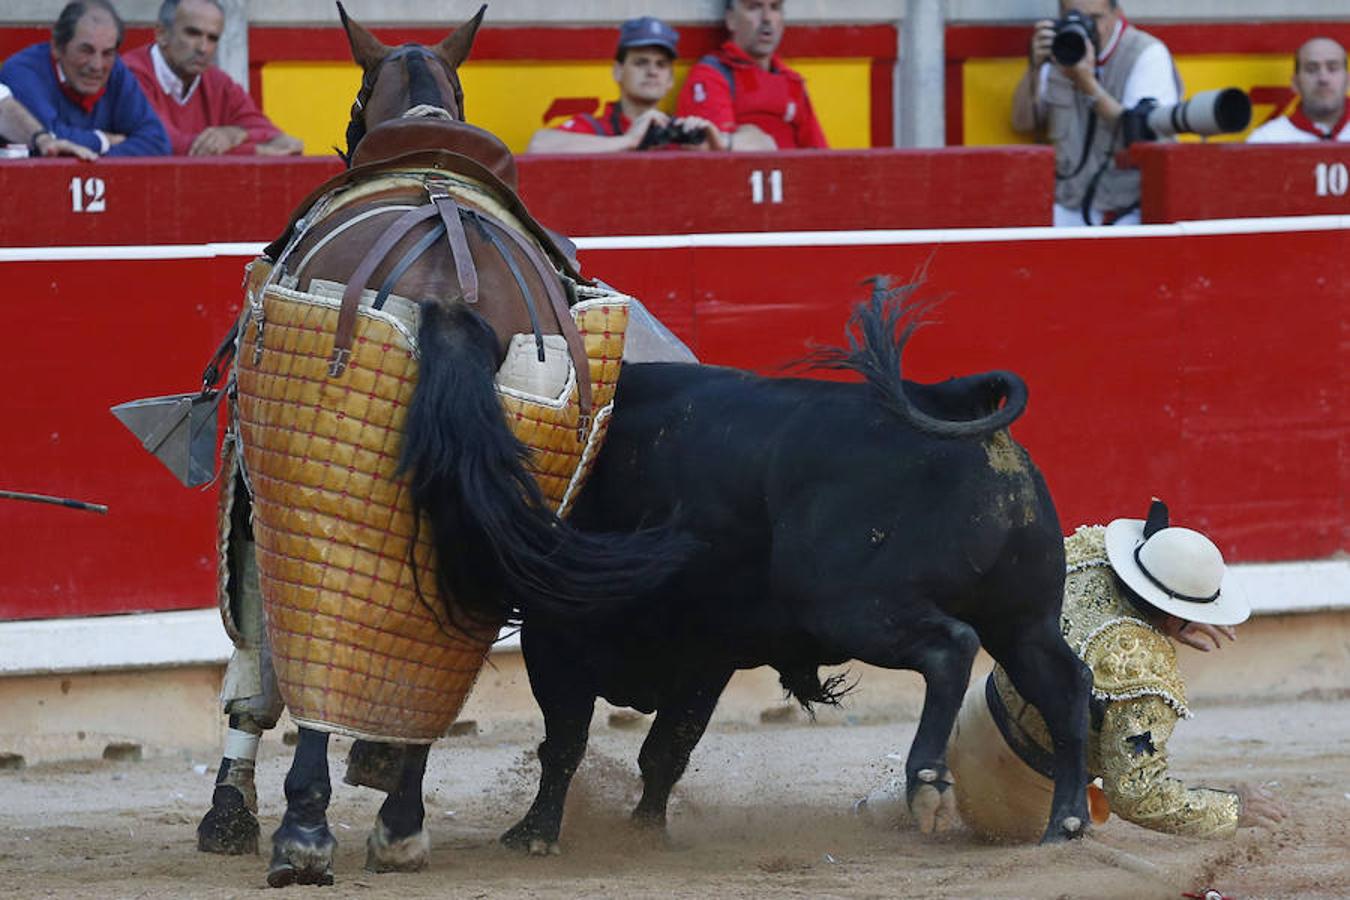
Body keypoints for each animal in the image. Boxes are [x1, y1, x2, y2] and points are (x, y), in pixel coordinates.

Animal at [224, 1, 685, 885]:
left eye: (353, 100)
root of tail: (450, 294)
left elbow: (255, 644)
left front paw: (227, 816)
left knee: (326, 634)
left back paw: (306, 833)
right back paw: (400, 825)